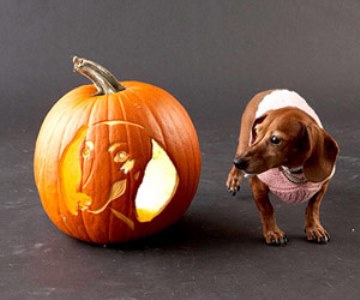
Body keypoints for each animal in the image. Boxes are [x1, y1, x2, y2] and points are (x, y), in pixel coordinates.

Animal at [226, 89, 338, 246]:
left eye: (275, 139)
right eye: (257, 131)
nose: (238, 162)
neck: (295, 170)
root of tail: (269, 90)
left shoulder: (323, 184)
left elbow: (313, 206)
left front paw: (314, 228)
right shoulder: (257, 184)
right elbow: (267, 208)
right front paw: (273, 232)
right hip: (244, 141)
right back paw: (234, 180)